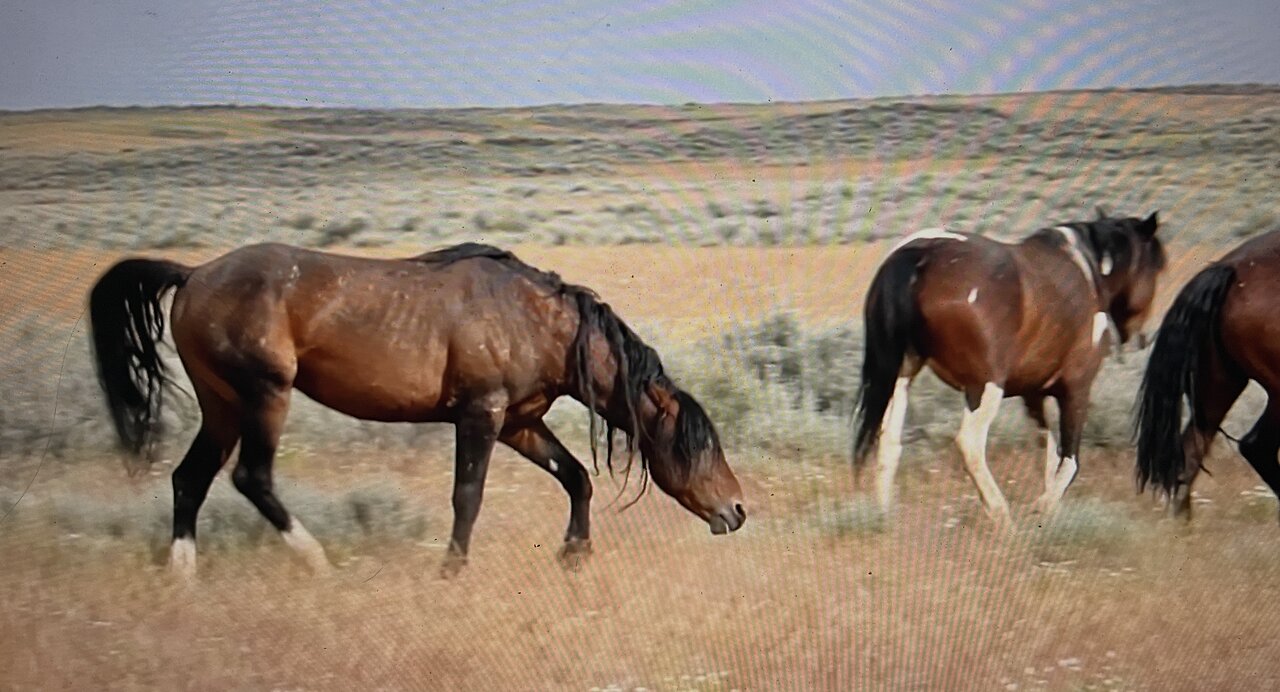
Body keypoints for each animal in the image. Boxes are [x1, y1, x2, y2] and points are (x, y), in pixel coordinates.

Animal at [90, 241, 747, 578]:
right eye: (699, 444)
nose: (737, 511)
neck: (536, 320)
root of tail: (194, 274)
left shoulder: (519, 423)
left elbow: (576, 477)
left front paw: (574, 555)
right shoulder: (481, 416)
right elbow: (468, 497)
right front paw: (451, 572)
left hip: (222, 406)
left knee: (189, 479)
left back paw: (182, 576)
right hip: (263, 397)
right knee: (252, 477)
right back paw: (320, 564)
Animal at [855, 207, 1167, 526]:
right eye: (1156, 267)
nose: (1142, 336)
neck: (1087, 274)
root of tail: (921, 254)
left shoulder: (1035, 395)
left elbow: (1049, 454)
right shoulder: (1075, 389)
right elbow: (1069, 460)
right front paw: (1043, 508)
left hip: (900, 377)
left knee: (888, 440)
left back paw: (885, 518)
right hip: (984, 388)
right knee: (970, 444)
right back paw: (1002, 517)